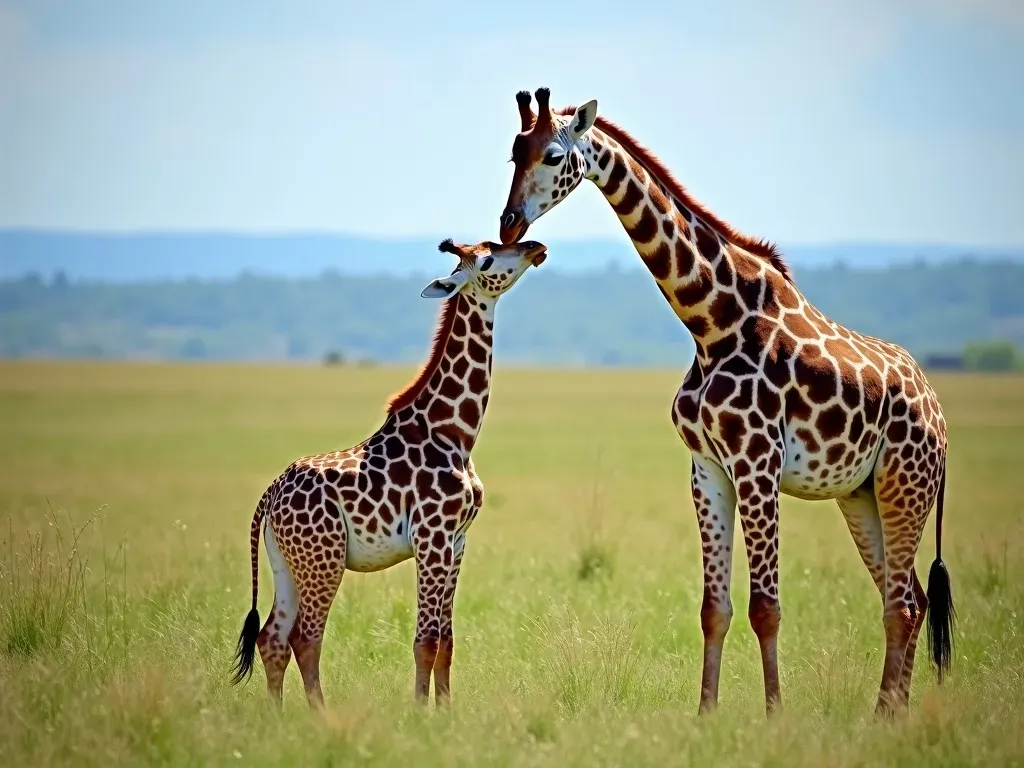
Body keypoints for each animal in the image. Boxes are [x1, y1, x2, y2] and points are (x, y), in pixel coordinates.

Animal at [230, 239, 552, 708]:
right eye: (488, 258)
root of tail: (269, 496)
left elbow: (447, 641)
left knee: (272, 637)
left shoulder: (457, 541)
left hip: (285, 561)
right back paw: (322, 716)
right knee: (304, 638)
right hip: (323, 558)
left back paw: (277, 715)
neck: (454, 432)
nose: (534, 246)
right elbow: (426, 641)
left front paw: (446, 711)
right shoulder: (432, 537)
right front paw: (419, 714)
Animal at [499, 87, 954, 720]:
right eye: (512, 154)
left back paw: (887, 716)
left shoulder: (757, 463)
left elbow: (767, 607)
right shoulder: (707, 466)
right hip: (860, 494)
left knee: (903, 603)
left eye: (552, 155)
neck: (711, 323)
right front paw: (706, 714)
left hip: (904, 484)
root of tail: (938, 409)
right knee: (906, 594)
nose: (509, 223)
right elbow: (714, 609)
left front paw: (774, 716)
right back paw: (891, 712)